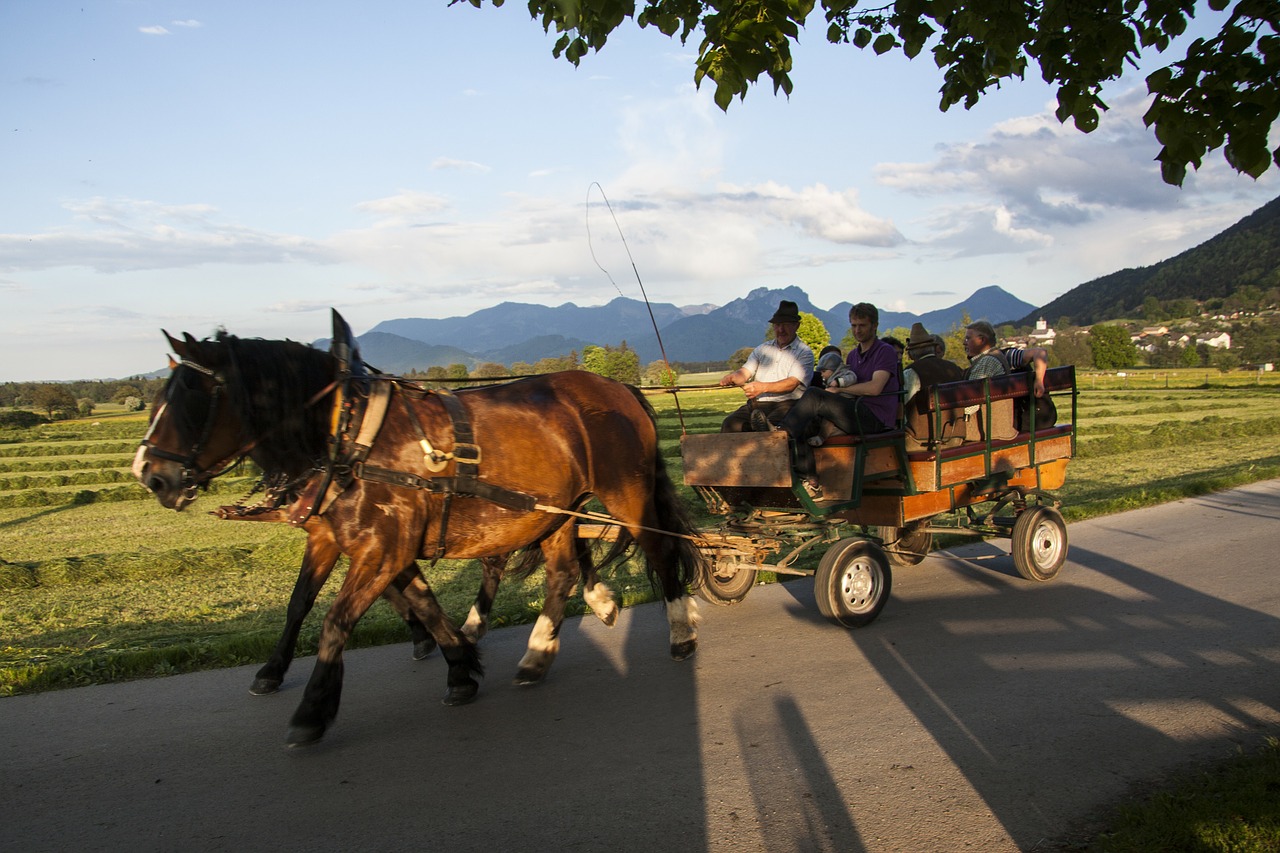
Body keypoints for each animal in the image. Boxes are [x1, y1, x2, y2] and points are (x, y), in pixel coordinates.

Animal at [135, 327, 706, 742]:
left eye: (190, 398)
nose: (150, 474)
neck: (346, 437)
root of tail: (618, 387)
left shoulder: (381, 549)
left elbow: (337, 622)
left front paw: (313, 709)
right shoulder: (350, 542)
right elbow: (395, 604)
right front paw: (459, 666)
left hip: (626, 493)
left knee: (659, 552)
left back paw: (680, 632)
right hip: (555, 511)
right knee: (561, 572)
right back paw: (539, 652)